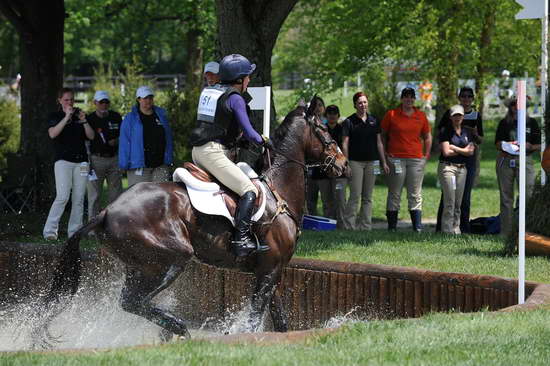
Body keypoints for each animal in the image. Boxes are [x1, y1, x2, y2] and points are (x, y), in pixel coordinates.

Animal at [38, 105, 350, 344]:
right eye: (324, 131)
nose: (344, 164)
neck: (279, 191)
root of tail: (106, 211)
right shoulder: (269, 271)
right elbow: (254, 318)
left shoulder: (273, 271)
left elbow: (280, 320)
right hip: (171, 259)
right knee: (135, 301)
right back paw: (178, 328)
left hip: (139, 266)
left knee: (131, 301)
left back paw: (170, 331)